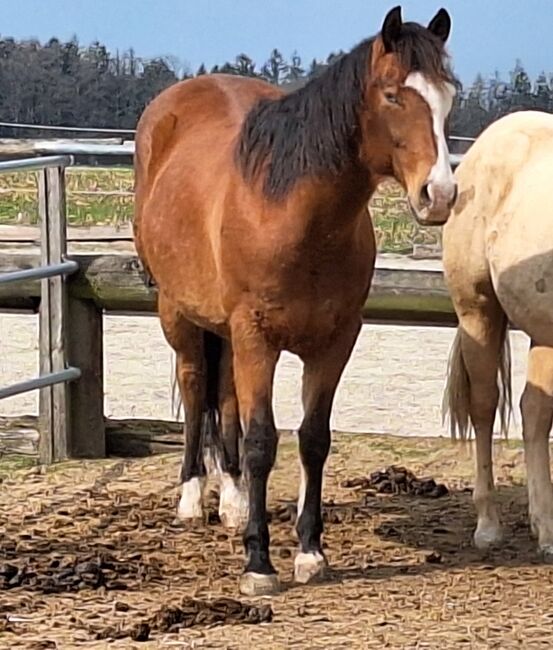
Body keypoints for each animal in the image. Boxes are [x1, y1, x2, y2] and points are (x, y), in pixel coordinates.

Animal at [134, 5, 457, 595]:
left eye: (449, 94)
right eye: (393, 95)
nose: (439, 195)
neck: (294, 218)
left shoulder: (335, 340)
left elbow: (312, 439)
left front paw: (309, 552)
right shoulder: (256, 335)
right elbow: (264, 440)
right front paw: (259, 563)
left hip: (227, 331)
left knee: (224, 398)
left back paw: (233, 499)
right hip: (179, 314)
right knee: (194, 387)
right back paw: (193, 496)